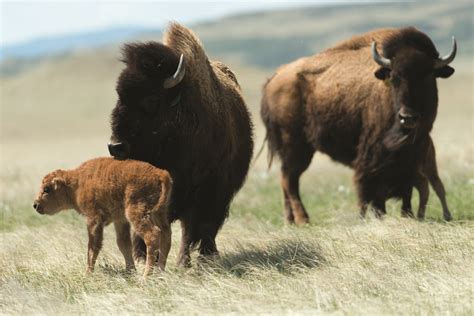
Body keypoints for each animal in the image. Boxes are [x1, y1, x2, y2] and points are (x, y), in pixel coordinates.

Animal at [33, 158, 174, 276]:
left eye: (47, 189)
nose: (35, 204)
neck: (76, 184)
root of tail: (160, 174)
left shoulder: (93, 219)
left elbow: (93, 247)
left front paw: (87, 274)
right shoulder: (120, 220)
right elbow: (123, 245)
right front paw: (130, 271)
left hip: (137, 214)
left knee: (152, 235)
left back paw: (146, 277)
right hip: (159, 213)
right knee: (166, 235)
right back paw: (161, 272)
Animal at [108, 22, 254, 266]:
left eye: (151, 99)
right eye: (119, 96)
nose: (116, 146)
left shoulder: (199, 191)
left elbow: (190, 226)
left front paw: (182, 262)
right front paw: (142, 258)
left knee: (208, 227)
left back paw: (206, 255)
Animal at [262, 27, 458, 225]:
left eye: (428, 75)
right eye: (394, 76)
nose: (407, 117)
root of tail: (275, 77)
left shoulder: (412, 156)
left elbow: (407, 190)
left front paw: (406, 214)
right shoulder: (372, 157)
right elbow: (370, 190)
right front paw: (375, 216)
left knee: (286, 180)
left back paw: (290, 220)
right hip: (295, 147)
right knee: (290, 180)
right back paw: (303, 219)